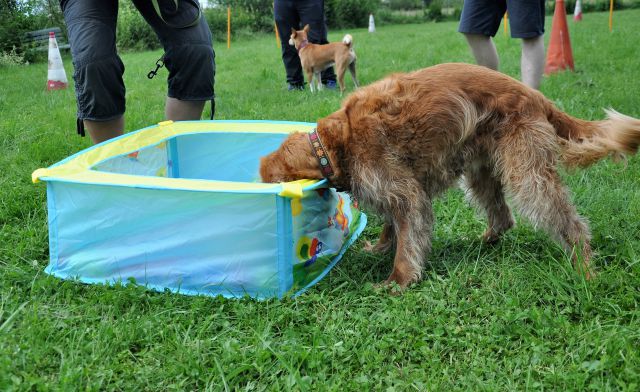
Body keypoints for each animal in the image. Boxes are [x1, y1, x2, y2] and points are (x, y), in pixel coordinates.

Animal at [258, 62, 640, 288]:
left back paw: (585, 268)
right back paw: (484, 242)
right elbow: (392, 227)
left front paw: (397, 280)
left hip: (527, 174)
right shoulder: (397, 190)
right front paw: (380, 248)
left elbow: (407, 241)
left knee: (568, 222)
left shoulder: (406, 193)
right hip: (482, 171)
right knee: (503, 217)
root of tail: (535, 94)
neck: (336, 143)